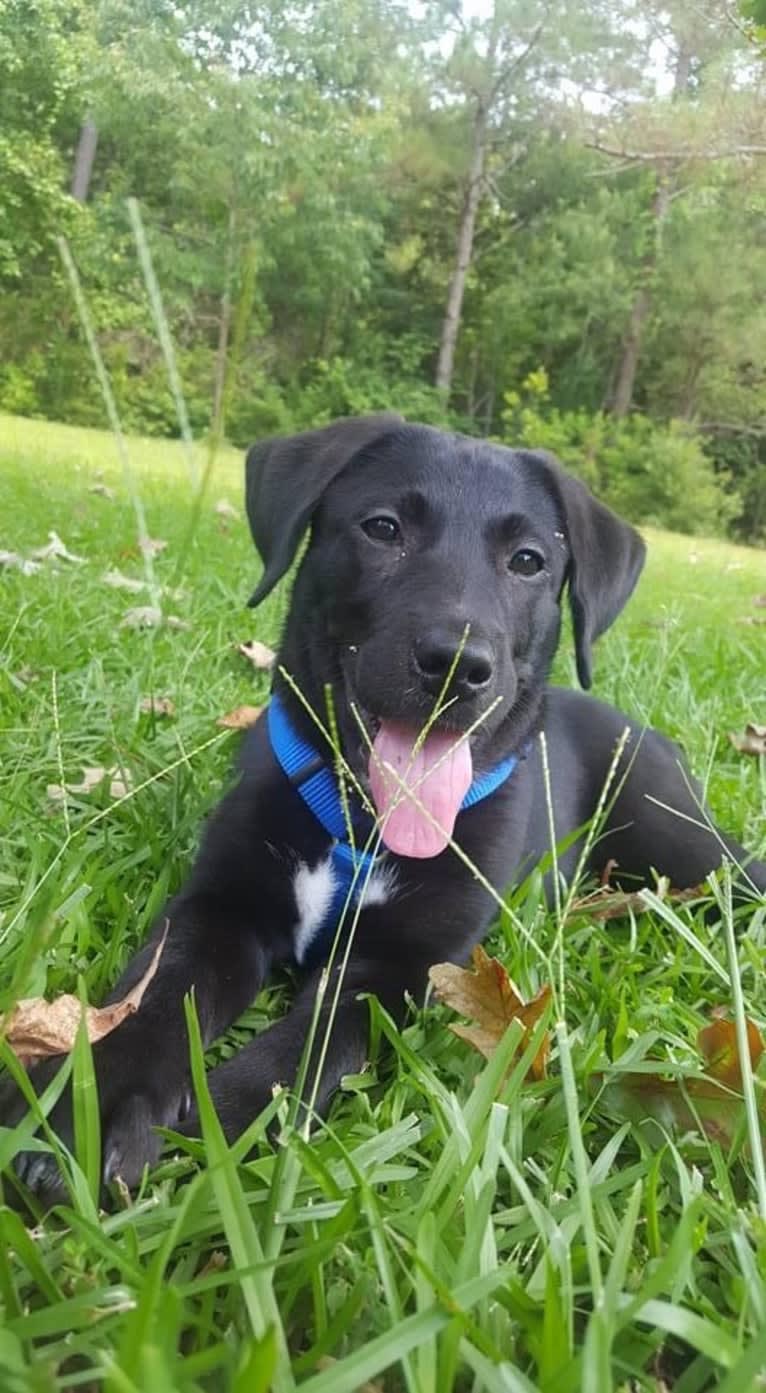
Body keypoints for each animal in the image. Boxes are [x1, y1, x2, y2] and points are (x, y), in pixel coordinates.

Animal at [7, 409, 766, 1197]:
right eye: (382, 528)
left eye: (528, 560)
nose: (456, 665)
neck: (363, 821)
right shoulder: (220, 905)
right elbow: (159, 988)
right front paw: (91, 1103)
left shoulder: (407, 965)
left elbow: (311, 1048)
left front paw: (216, 1129)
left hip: (688, 845)